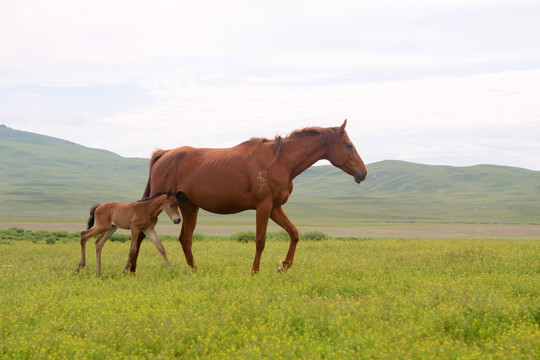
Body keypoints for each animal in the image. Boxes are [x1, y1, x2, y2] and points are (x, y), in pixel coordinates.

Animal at [129, 119, 370, 272]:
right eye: (349, 145)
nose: (363, 173)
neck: (280, 161)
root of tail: (165, 154)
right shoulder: (264, 206)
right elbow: (260, 240)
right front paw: (255, 271)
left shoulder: (275, 208)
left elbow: (294, 233)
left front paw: (284, 265)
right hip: (158, 205)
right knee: (142, 234)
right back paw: (132, 270)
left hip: (189, 206)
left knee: (185, 239)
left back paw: (194, 270)